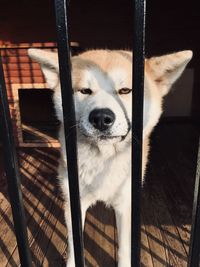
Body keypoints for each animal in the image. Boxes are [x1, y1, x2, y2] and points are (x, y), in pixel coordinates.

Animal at [28, 48, 192, 267]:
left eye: (125, 90)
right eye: (85, 91)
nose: (101, 117)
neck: (103, 162)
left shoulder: (124, 204)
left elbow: (123, 249)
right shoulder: (74, 203)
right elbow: (74, 245)